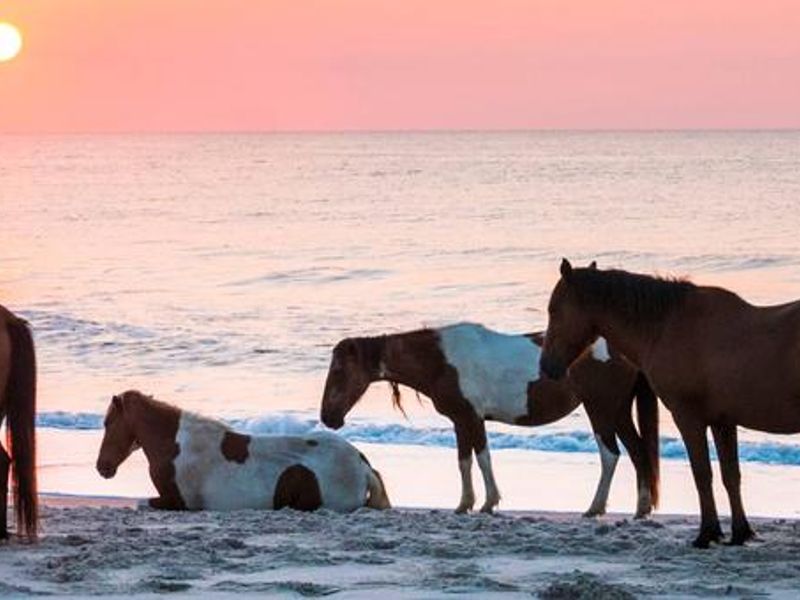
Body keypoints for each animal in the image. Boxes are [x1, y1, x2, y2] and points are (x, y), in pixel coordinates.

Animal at [96, 390, 390, 512]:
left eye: (108, 422)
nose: (102, 467)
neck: (176, 445)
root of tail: (362, 464)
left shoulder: (179, 503)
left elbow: (139, 502)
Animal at [320, 322, 659, 518]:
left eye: (339, 370)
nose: (328, 417)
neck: (441, 360)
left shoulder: (469, 418)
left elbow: (479, 459)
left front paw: (482, 503)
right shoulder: (465, 421)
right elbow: (468, 460)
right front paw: (469, 504)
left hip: (600, 408)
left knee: (610, 455)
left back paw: (595, 508)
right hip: (618, 410)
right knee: (638, 452)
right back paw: (641, 509)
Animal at [540, 258, 800, 548]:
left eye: (554, 310)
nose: (546, 366)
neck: (667, 326)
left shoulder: (688, 418)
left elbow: (703, 474)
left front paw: (707, 533)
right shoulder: (722, 422)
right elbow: (730, 476)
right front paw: (740, 533)